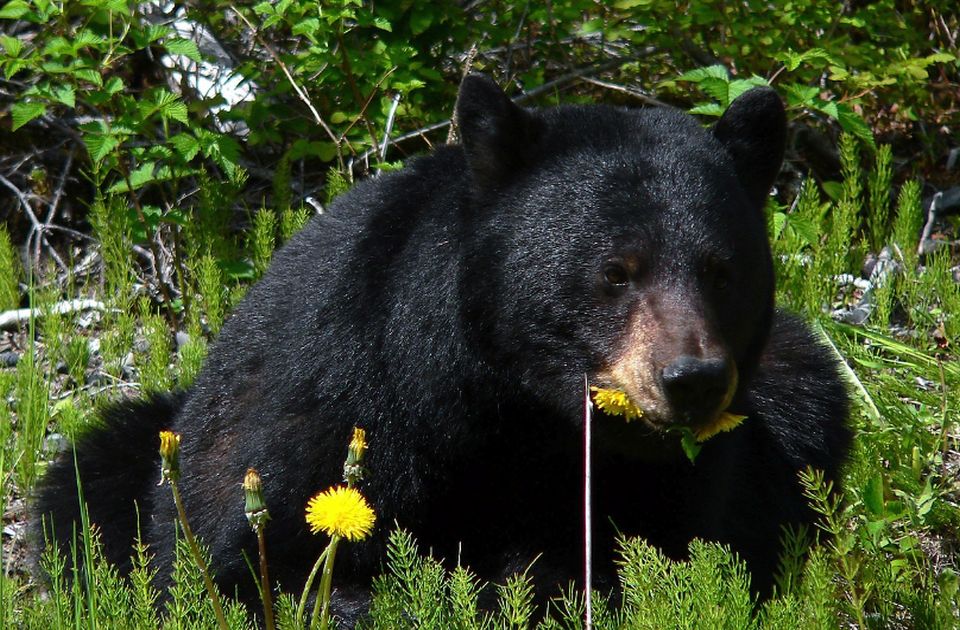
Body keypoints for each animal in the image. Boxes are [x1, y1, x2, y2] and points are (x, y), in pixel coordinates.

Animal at [35, 75, 848, 624]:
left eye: (722, 270)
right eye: (616, 271)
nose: (692, 379)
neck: (512, 409)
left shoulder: (675, 479)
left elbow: (657, 552)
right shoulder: (334, 398)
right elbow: (249, 561)